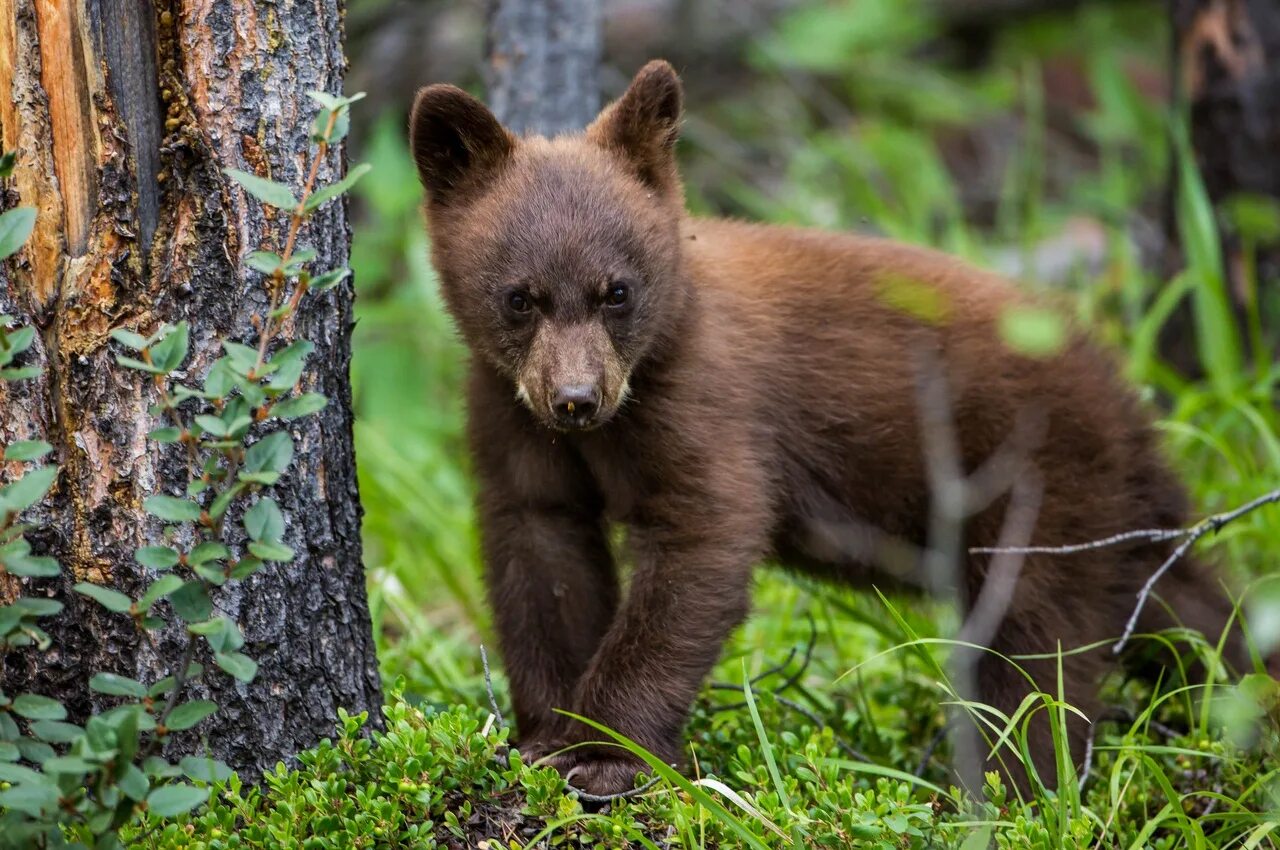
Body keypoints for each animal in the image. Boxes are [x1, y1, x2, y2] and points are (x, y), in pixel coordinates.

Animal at [407, 61, 1239, 798]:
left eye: (617, 291)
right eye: (520, 297)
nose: (577, 399)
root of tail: (1123, 394)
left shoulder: (705, 401)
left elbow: (701, 540)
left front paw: (608, 756)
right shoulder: (511, 414)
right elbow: (542, 552)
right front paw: (546, 736)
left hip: (1043, 486)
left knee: (1037, 649)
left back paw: (1009, 789)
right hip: (1112, 515)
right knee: (1179, 606)